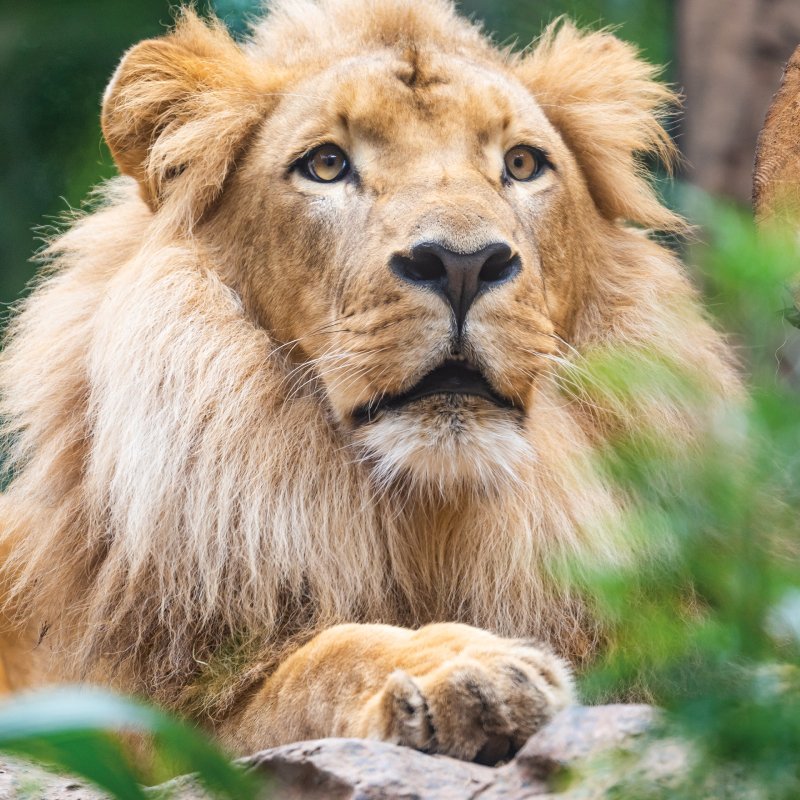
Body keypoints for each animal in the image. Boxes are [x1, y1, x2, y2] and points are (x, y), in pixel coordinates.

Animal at [0, 0, 739, 763]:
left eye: (522, 163)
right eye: (327, 164)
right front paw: (461, 669)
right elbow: (323, 659)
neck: (431, 516)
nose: (462, 264)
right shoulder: (145, 720)